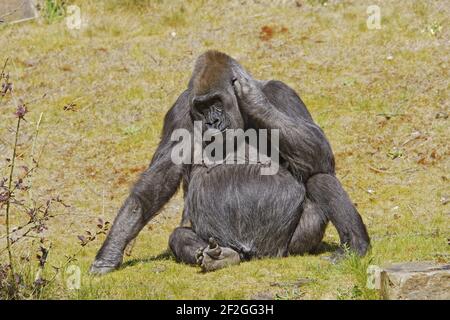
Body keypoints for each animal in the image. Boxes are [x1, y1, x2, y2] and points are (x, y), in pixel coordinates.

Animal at [89, 50, 370, 276]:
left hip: (285, 248)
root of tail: (252, 253)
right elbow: (156, 182)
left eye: (216, 102)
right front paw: (110, 253)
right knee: (180, 235)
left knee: (318, 176)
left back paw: (356, 246)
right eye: (201, 107)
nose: (212, 121)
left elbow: (319, 151)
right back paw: (222, 257)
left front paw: (254, 100)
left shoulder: (282, 93)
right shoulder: (179, 111)